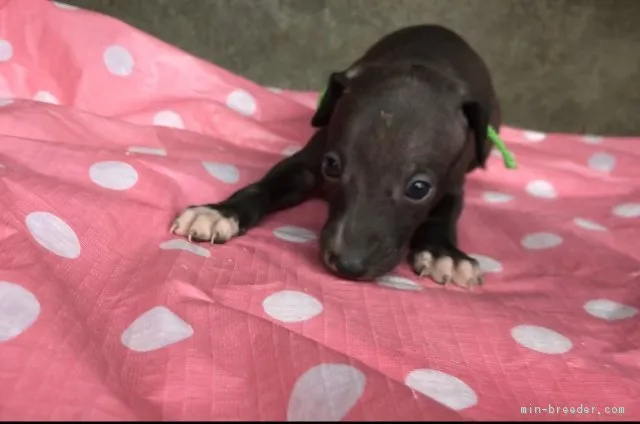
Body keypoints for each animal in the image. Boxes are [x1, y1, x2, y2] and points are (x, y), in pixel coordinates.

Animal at [170, 25, 500, 288]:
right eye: (332, 166)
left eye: (419, 189)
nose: (348, 265)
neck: (424, 61)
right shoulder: (311, 157)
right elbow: (266, 185)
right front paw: (219, 211)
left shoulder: (454, 181)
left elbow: (443, 214)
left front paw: (446, 254)